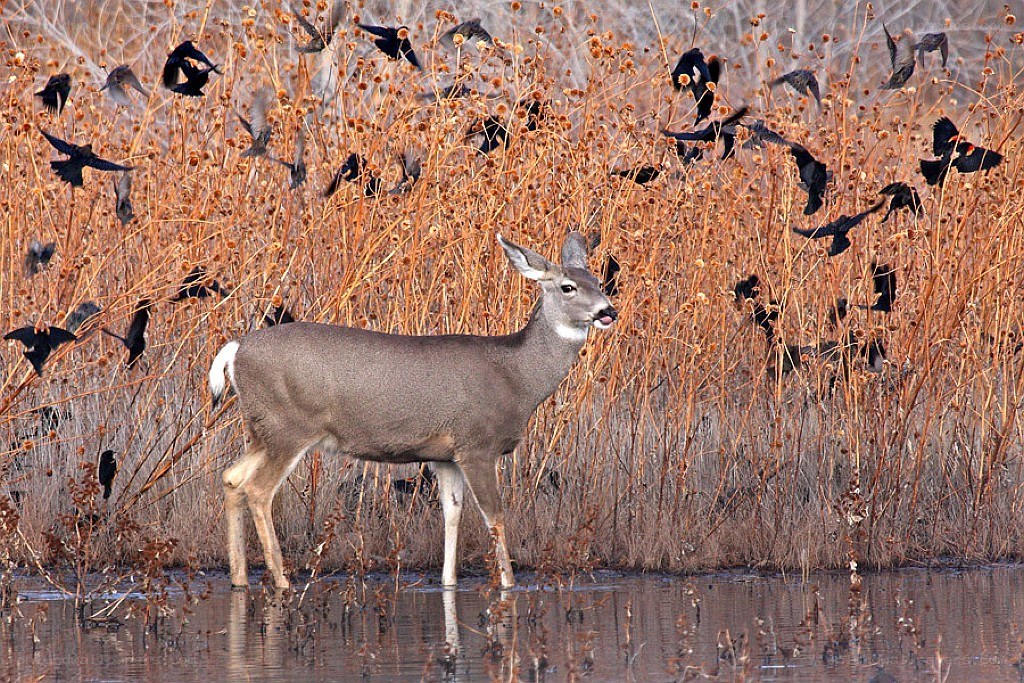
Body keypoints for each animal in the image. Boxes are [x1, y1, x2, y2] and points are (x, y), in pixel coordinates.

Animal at [207, 232, 617, 589]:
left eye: (598, 281)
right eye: (568, 286)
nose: (608, 310)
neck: (516, 376)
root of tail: (236, 348)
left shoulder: (445, 455)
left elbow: (452, 513)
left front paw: (449, 581)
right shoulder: (477, 444)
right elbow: (495, 516)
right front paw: (509, 583)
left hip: (261, 428)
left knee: (231, 478)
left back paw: (239, 578)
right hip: (289, 426)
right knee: (258, 489)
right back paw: (281, 581)